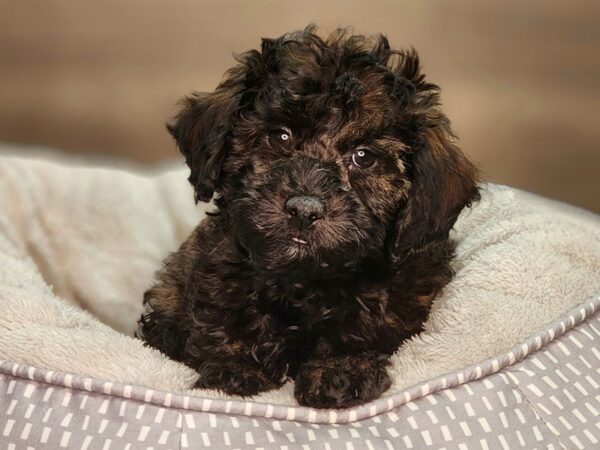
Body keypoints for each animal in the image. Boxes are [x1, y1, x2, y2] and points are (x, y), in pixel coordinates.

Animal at [138, 26, 480, 410]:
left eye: (364, 156)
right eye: (280, 136)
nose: (304, 209)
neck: (304, 281)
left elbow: (363, 329)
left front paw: (340, 370)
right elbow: (222, 321)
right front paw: (235, 370)